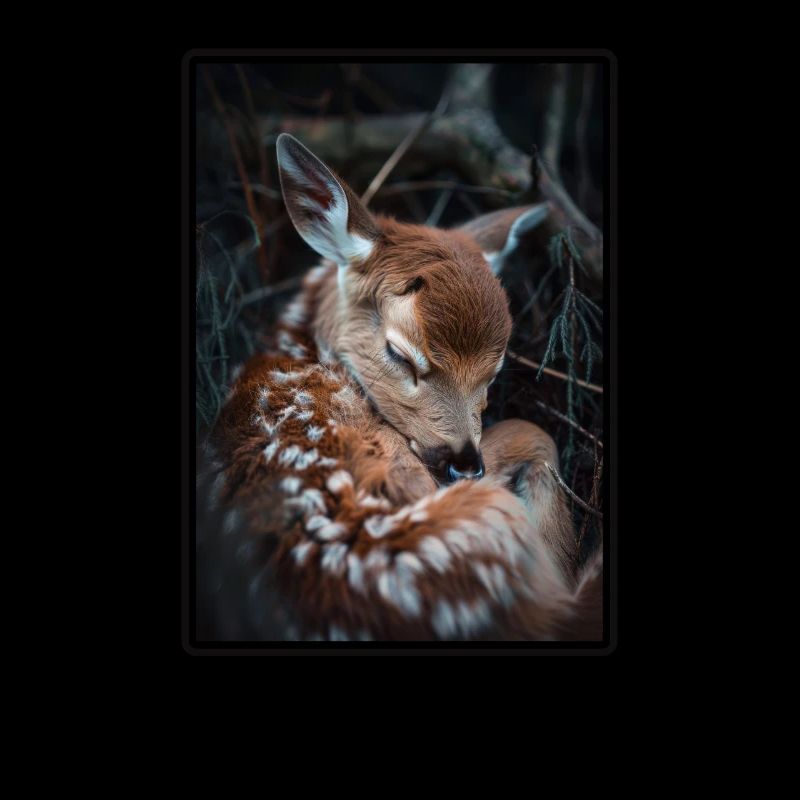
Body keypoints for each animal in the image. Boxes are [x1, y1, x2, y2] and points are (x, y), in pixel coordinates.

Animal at [201, 133, 603, 642]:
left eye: (494, 371)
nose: (463, 463)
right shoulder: (408, 466)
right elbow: (533, 432)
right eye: (399, 354)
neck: (300, 348)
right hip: (481, 520)